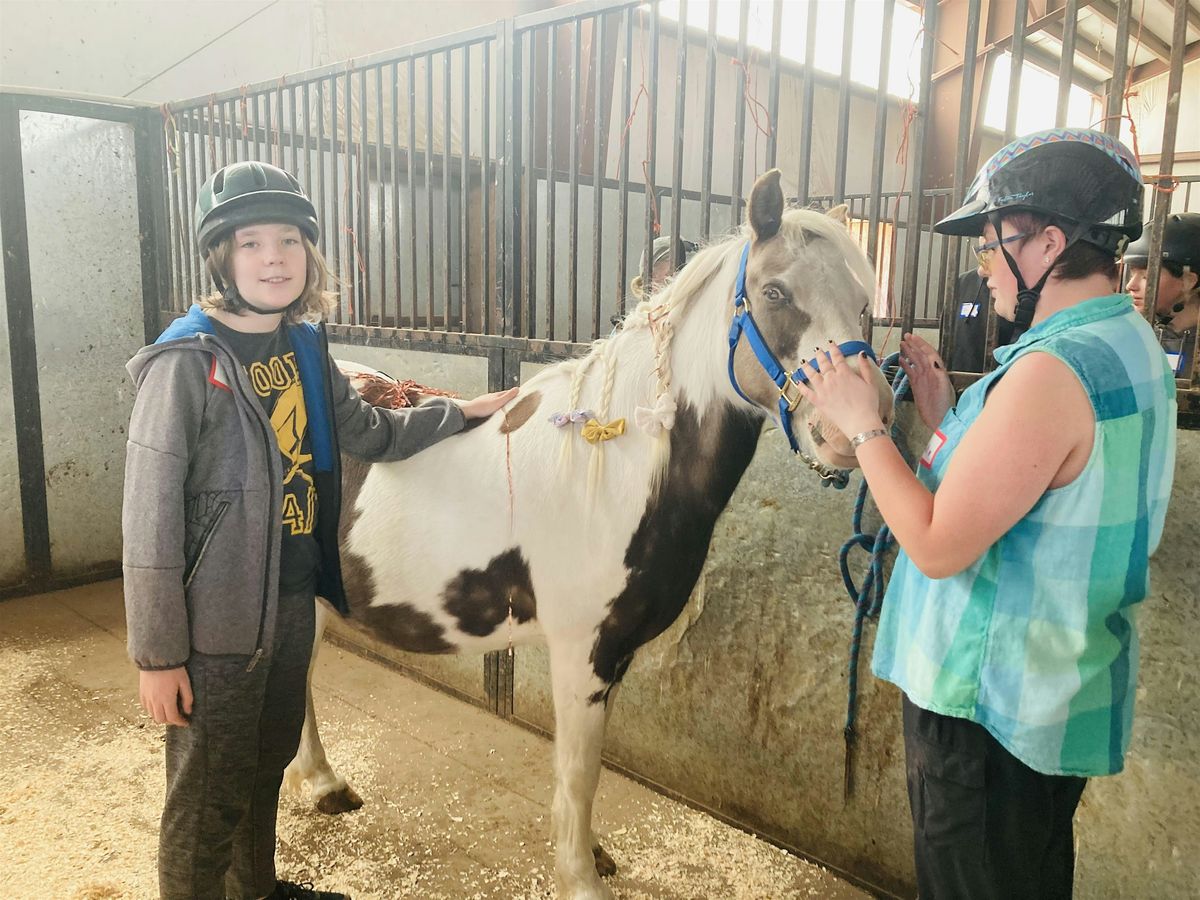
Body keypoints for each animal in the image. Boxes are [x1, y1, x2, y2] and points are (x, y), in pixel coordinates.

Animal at [284, 169, 895, 900]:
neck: (611, 474)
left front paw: (593, 855)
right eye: (776, 292)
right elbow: (578, 771)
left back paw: (321, 784)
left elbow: (588, 768)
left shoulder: (617, 652)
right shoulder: (584, 650)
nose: (856, 428)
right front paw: (580, 877)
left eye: (864, 305)